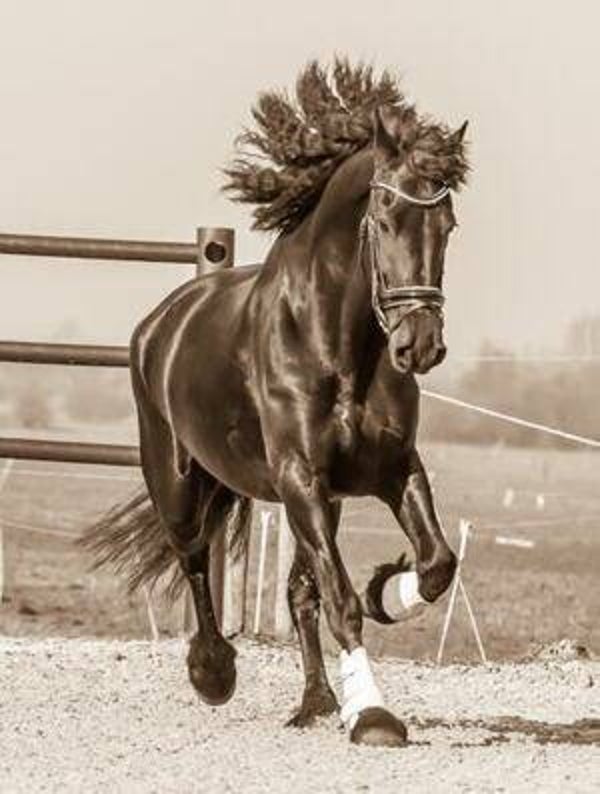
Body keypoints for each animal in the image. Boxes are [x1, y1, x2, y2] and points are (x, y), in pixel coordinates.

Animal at [84, 59, 469, 748]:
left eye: (446, 225)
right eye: (386, 216)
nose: (419, 345)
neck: (335, 342)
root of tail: (162, 322)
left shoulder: (392, 469)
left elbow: (434, 565)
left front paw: (385, 591)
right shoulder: (299, 478)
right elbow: (341, 600)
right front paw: (373, 716)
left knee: (296, 591)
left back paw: (316, 700)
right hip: (178, 482)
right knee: (194, 558)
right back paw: (214, 671)